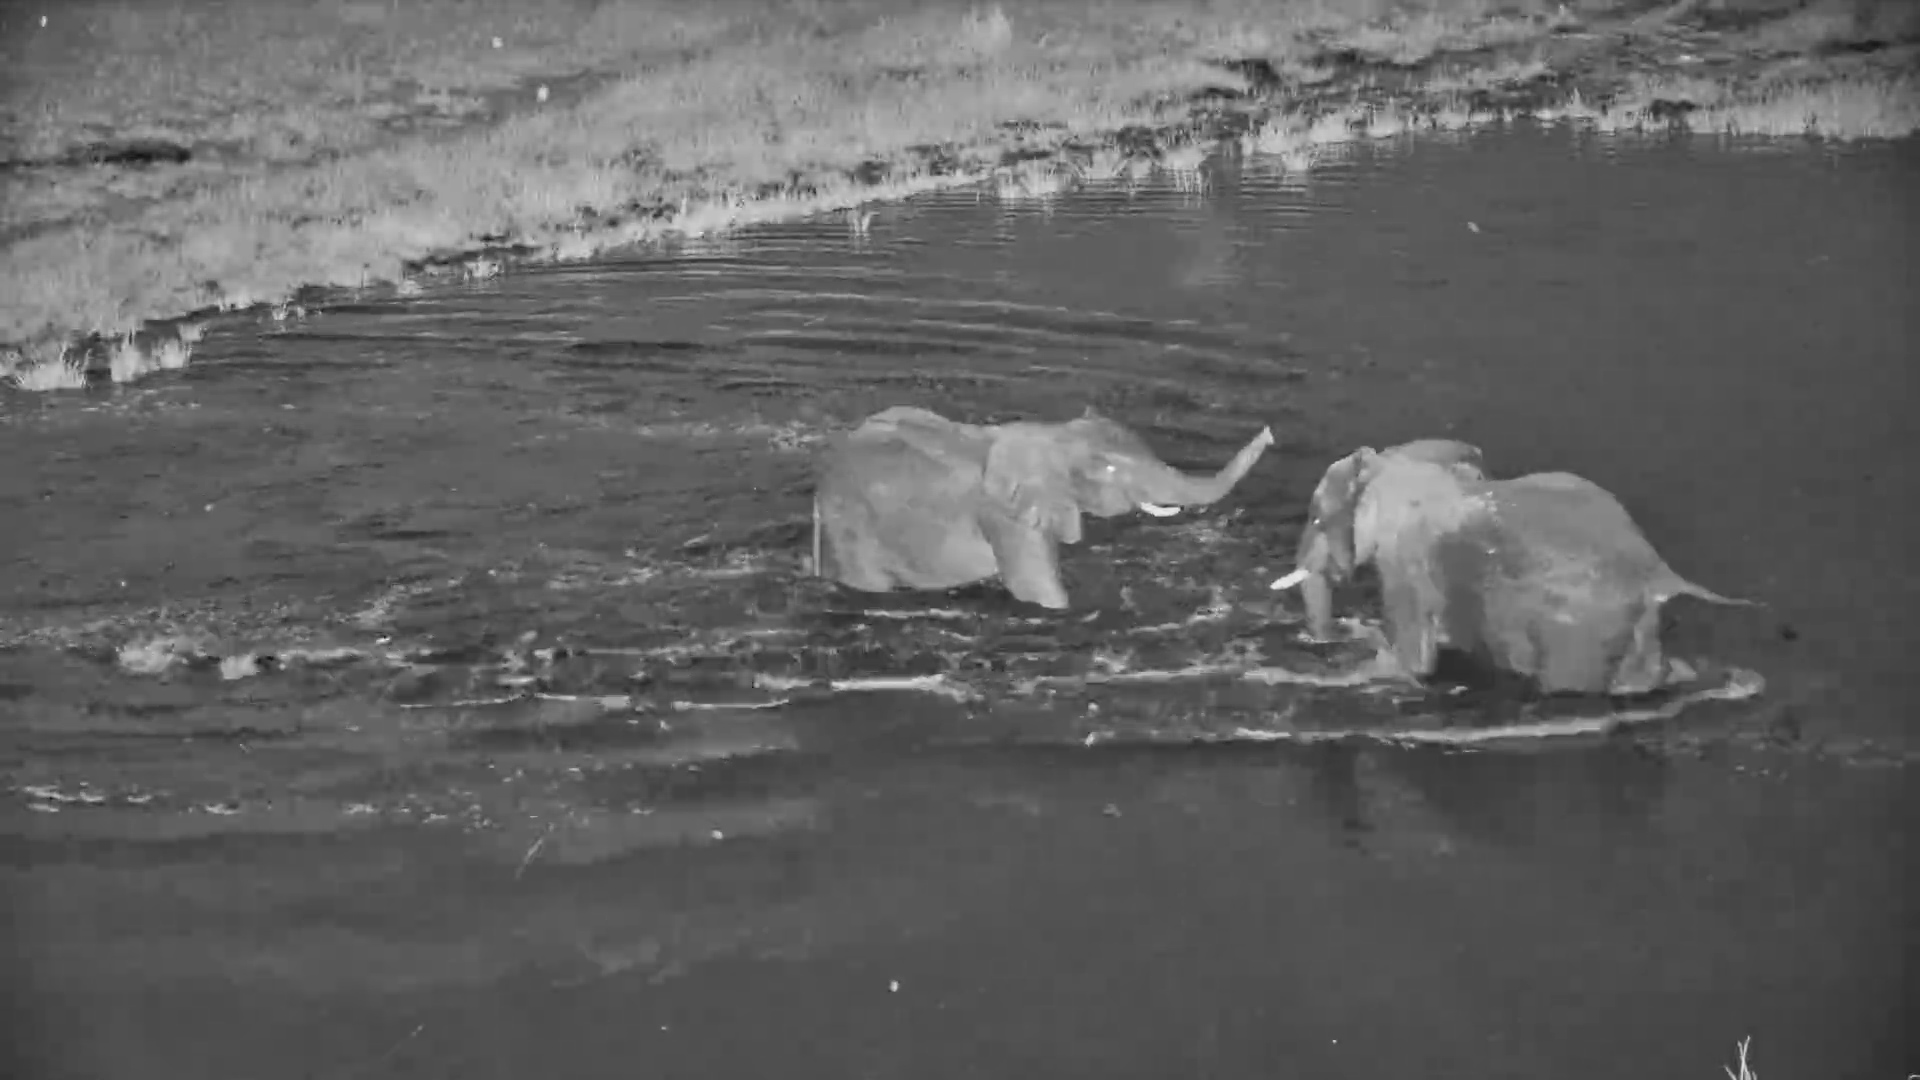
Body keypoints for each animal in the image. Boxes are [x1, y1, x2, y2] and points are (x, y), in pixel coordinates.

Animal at [813, 405, 1275, 609]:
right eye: (1108, 468)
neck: (1052, 435)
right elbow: (1037, 591)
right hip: (851, 527)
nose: (1270, 433)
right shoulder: (1007, 519)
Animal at [1270, 439, 1758, 696]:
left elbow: (1414, 662)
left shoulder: (1406, 564)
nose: (1326, 638)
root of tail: (1658, 571)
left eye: (1316, 517)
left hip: (1577, 632)